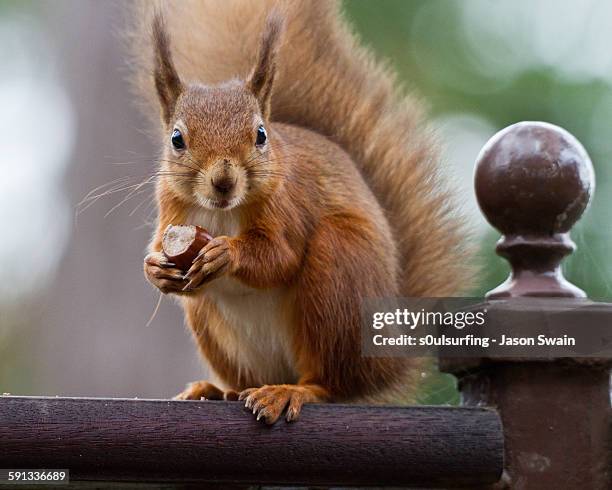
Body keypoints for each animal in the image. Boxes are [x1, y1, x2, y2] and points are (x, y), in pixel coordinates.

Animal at [128, 0, 474, 424]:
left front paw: (227, 253)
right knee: (246, 379)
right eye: (177, 139)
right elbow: (161, 246)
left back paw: (290, 391)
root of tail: (385, 360)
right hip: (214, 329)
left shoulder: (290, 205)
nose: (223, 181)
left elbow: (281, 257)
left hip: (338, 278)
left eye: (261, 135)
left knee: (329, 384)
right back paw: (217, 391)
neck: (223, 212)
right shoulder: (172, 210)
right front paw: (155, 268)